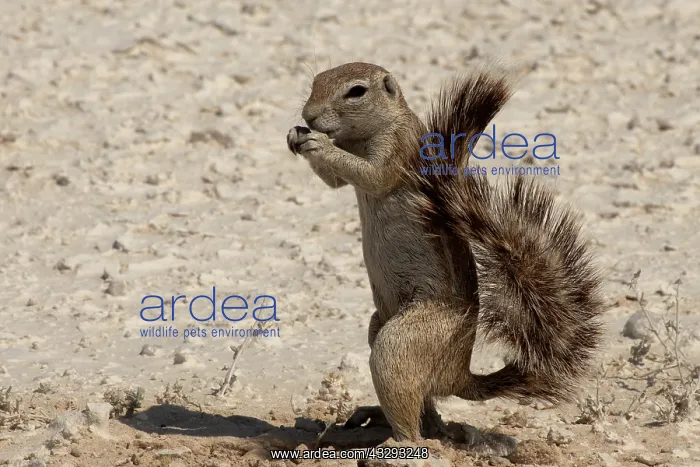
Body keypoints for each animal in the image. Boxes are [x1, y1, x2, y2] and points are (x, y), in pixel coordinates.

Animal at [286, 62, 606, 442]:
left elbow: (373, 176)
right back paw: (381, 416)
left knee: (411, 416)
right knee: (423, 401)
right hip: (380, 325)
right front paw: (294, 135)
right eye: (316, 81)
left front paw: (316, 142)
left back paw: (398, 442)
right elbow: (334, 181)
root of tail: (459, 377)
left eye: (356, 91)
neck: (365, 134)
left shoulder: (398, 151)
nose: (309, 115)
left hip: (400, 344)